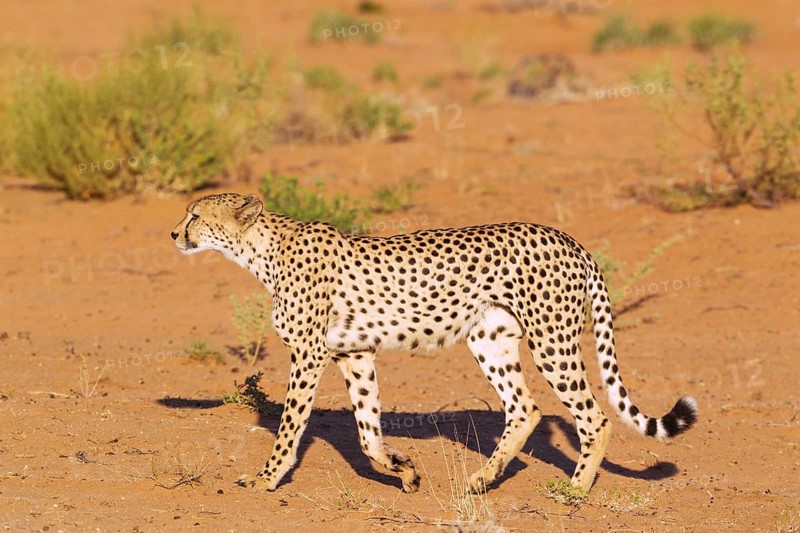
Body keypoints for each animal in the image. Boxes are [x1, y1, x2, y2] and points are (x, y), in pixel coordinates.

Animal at [171, 192, 697, 494]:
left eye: (195, 215)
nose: (174, 232)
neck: (262, 250)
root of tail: (570, 240)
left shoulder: (309, 354)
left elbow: (290, 425)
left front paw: (266, 477)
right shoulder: (354, 353)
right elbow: (367, 434)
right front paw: (404, 470)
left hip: (552, 340)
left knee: (595, 417)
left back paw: (575, 491)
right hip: (490, 340)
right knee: (525, 408)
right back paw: (484, 479)